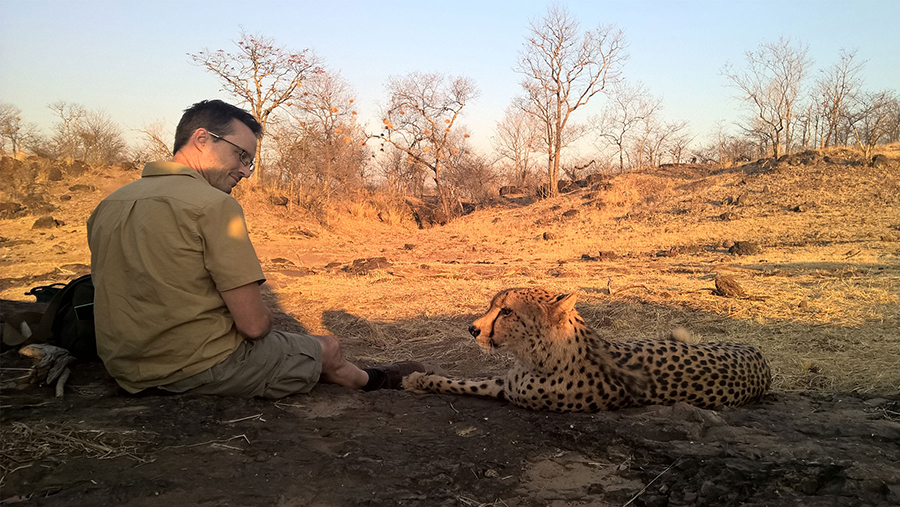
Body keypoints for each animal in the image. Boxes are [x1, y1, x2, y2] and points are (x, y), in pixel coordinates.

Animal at [403, 288, 771, 412]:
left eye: (506, 311)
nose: (472, 329)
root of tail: (762, 359)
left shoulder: (513, 393)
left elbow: (466, 384)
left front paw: (415, 380)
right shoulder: (506, 383)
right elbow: (462, 381)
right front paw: (420, 378)